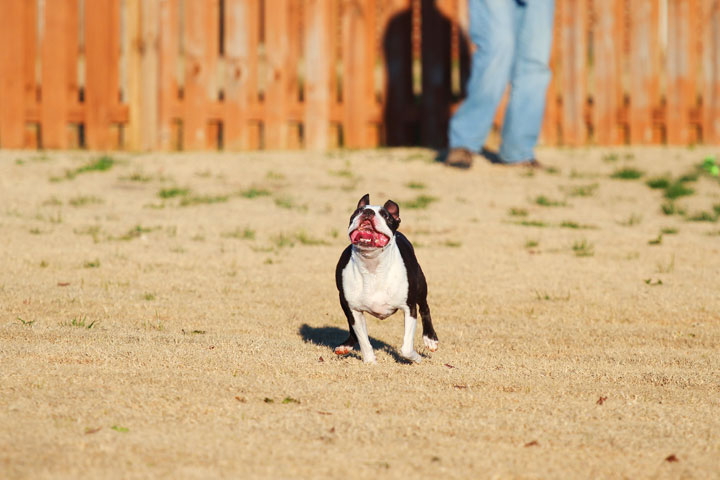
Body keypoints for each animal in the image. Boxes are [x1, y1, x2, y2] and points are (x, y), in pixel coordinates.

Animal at [334, 193, 438, 362]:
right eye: (357, 212)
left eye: (386, 216)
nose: (368, 212)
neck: (372, 266)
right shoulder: (353, 309)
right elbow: (363, 340)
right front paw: (370, 362)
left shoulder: (409, 308)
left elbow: (406, 348)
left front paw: (416, 358)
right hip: (344, 303)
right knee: (352, 327)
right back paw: (346, 345)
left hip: (421, 286)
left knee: (425, 308)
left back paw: (430, 339)